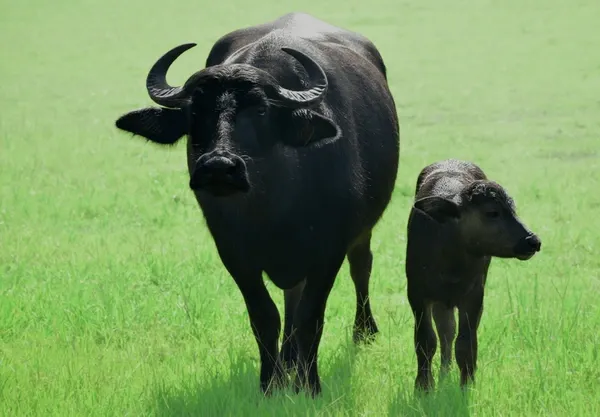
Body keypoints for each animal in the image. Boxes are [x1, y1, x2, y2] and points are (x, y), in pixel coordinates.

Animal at [115, 11, 400, 394]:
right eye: (194, 113)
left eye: (261, 111)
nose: (219, 167)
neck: (275, 208)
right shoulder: (234, 253)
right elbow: (265, 316)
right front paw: (271, 383)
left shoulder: (329, 250)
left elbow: (311, 316)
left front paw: (309, 385)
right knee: (292, 294)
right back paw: (289, 357)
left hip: (361, 233)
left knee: (361, 267)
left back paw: (363, 331)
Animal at [406, 158, 540, 390]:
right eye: (492, 212)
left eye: (512, 208)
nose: (533, 241)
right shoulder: (417, 294)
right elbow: (425, 340)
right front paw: (423, 386)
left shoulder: (474, 296)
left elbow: (466, 343)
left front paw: (466, 384)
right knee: (445, 331)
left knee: (449, 332)